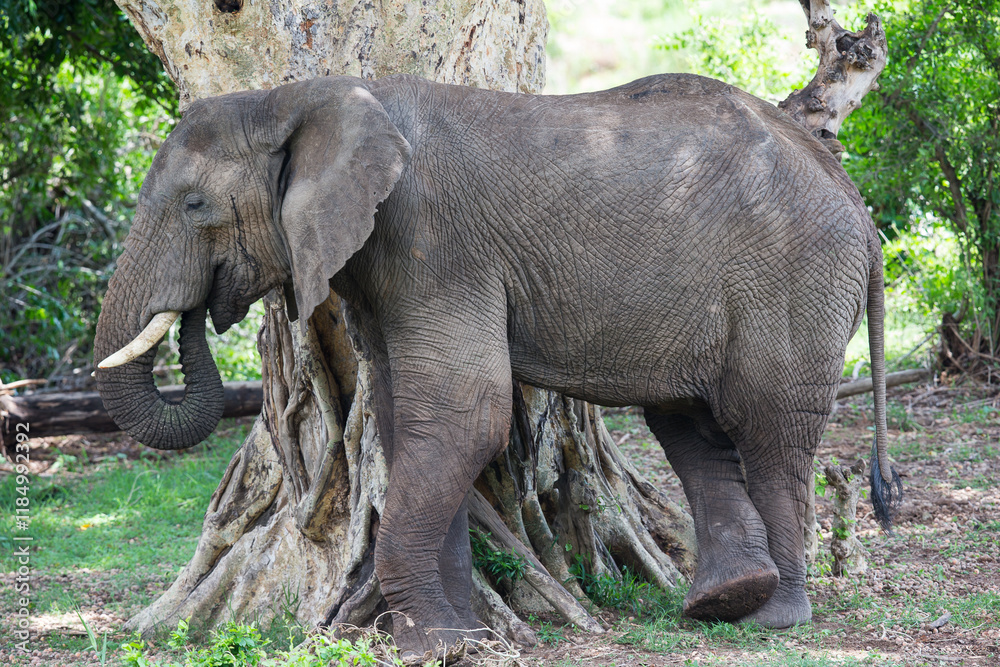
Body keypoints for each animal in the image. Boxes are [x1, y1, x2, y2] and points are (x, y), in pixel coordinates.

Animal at [94, 72, 901, 656]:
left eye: (195, 206)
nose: (202, 312)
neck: (303, 95)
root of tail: (858, 202)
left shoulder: (432, 240)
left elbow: (464, 417)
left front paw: (433, 647)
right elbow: (410, 423)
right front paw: (461, 636)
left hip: (795, 277)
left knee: (768, 432)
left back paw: (773, 618)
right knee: (693, 428)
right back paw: (720, 603)